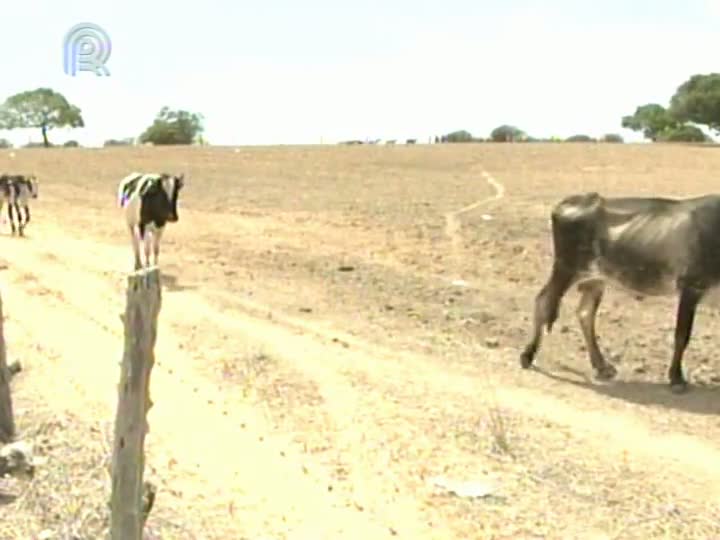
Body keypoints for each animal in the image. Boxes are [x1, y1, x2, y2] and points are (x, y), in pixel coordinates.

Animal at [516, 192, 720, 394]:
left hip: (595, 279)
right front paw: (676, 379)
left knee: (585, 314)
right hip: (566, 268)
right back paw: (527, 355)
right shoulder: (691, 286)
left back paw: (602, 366)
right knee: (543, 301)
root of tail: (573, 200)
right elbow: (682, 336)